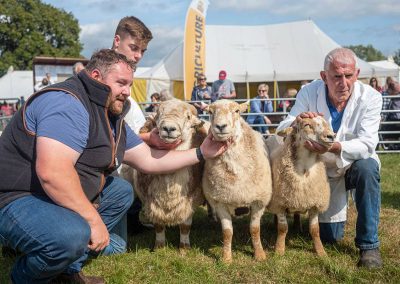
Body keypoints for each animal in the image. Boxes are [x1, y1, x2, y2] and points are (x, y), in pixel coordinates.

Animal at [122, 100, 209, 251]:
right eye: (158, 115)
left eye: (188, 117)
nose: (169, 128)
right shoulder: (150, 201)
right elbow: (158, 226)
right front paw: (159, 247)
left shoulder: (190, 200)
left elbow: (185, 226)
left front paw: (184, 249)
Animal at [203, 100, 272, 264]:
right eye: (210, 112)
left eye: (236, 111)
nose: (220, 126)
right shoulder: (220, 201)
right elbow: (227, 232)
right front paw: (226, 259)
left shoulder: (259, 201)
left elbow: (255, 229)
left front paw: (259, 255)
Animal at [268, 116, 334, 256]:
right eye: (307, 125)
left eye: (326, 124)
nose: (331, 136)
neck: (304, 171)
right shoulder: (280, 202)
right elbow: (282, 228)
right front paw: (279, 250)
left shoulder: (314, 203)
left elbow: (315, 230)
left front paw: (321, 252)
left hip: (297, 198)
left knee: (297, 213)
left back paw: (298, 227)